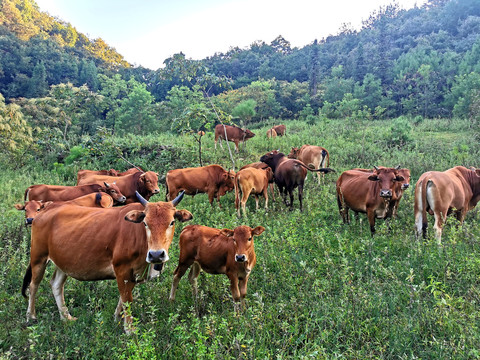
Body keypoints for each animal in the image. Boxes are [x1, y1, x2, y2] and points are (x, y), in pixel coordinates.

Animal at [22, 191, 191, 332]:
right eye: (145, 223)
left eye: (171, 222)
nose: (156, 255)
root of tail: (46, 209)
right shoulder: (121, 268)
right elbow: (127, 299)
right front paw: (130, 330)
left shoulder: (133, 273)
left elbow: (123, 298)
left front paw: (117, 319)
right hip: (38, 257)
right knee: (33, 285)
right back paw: (31, 315)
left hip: (63, 261)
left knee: (56, 284)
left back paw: (66, 317)